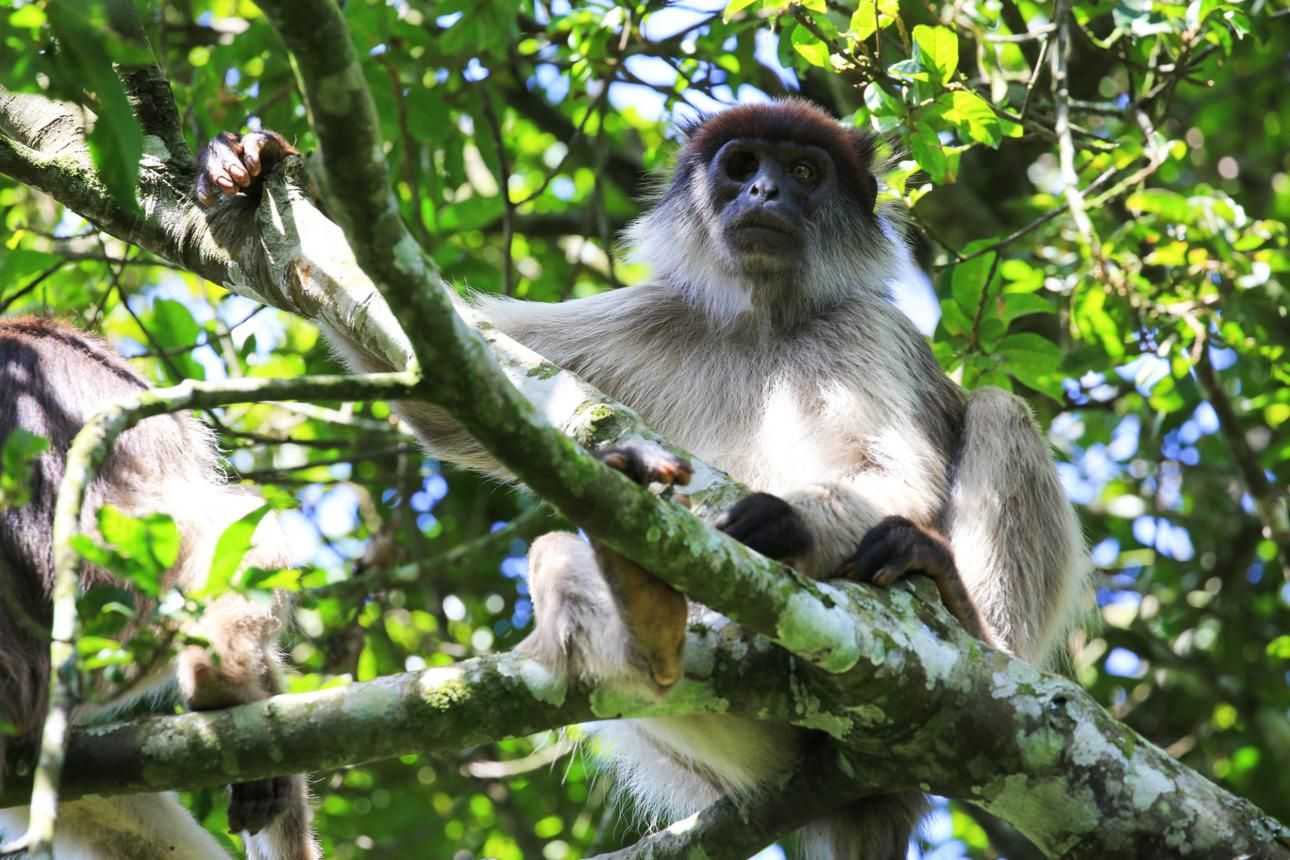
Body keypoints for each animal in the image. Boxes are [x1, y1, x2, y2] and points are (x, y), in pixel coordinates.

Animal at [198, 99, 1086, 858]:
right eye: (743, 164)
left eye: (804, 173)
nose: (764, 190)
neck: (761, 320)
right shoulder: (652, 317)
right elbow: (449, 389)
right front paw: (247, 175)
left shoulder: (868, 326)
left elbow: (894, 471)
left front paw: (780, 522)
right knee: (563, 562)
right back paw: (643, 620)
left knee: (1001, 412)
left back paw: (967, 616)